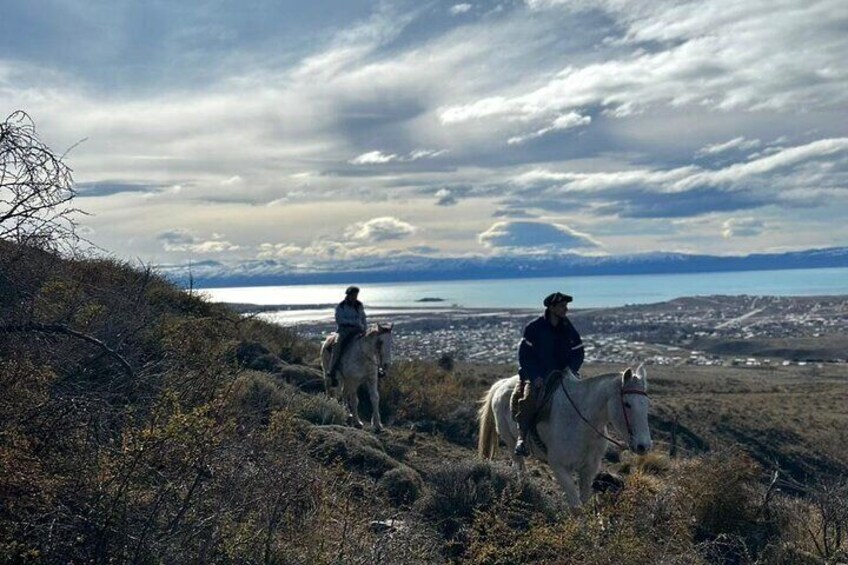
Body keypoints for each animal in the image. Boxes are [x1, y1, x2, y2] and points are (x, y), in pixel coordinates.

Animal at [480, 366, 652, 506]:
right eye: (627, 404)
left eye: (646, 403)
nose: (644, 446)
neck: (581, 423)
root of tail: (501, 384)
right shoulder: (559, 468)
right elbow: (576, 507)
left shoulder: (589, 469)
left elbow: (584, 502)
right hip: (510, 443)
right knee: (520, 468)